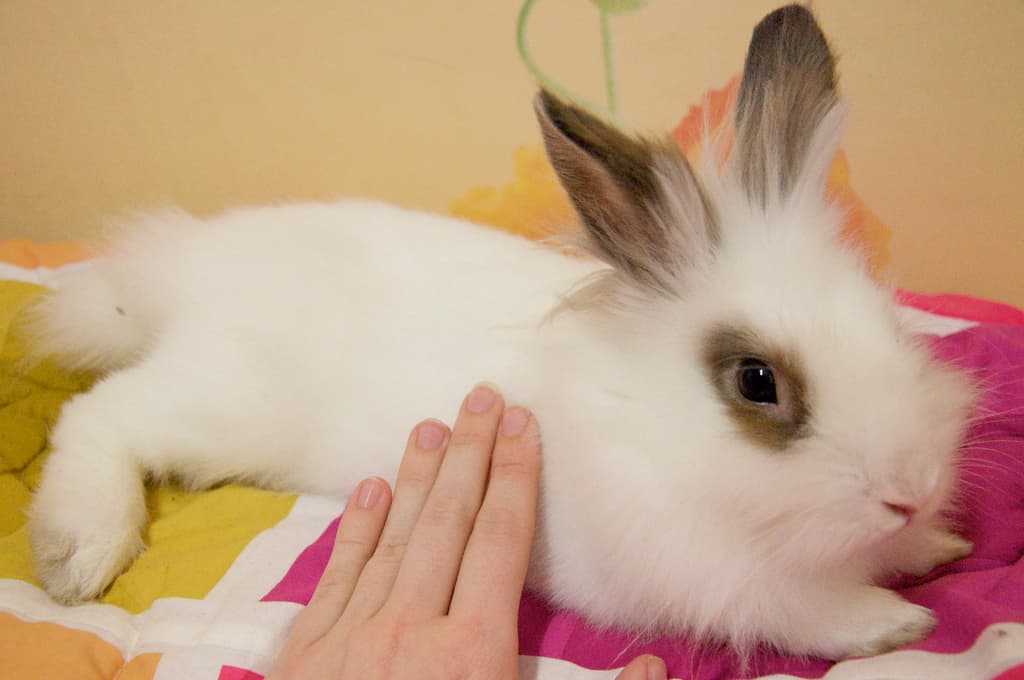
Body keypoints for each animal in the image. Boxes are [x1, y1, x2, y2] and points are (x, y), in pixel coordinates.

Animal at [25, 4, 974, 660]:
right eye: (755, 381)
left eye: (890, 323)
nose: (911, 490)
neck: (649, 423)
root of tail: (183, 265)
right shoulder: (694, 573)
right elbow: (792, 608)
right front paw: (893, 621)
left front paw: (936, 543)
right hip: (224, 405)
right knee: (98, 414)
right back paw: (77, 551)